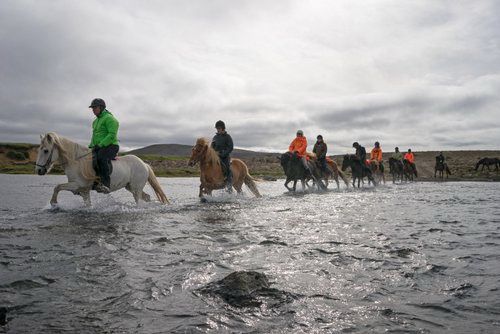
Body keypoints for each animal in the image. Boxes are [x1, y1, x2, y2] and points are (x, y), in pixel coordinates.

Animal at [34, 132, 170, 206]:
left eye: (45, 151)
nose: (39, 171)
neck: (76, 162)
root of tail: (144, 164)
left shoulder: (78, 184)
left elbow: (57, 187)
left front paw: (54, 203)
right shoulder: (84, 191)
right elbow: (87, 205)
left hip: (136, 188)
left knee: (139, 200)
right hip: (130, 187)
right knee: (146, 197)